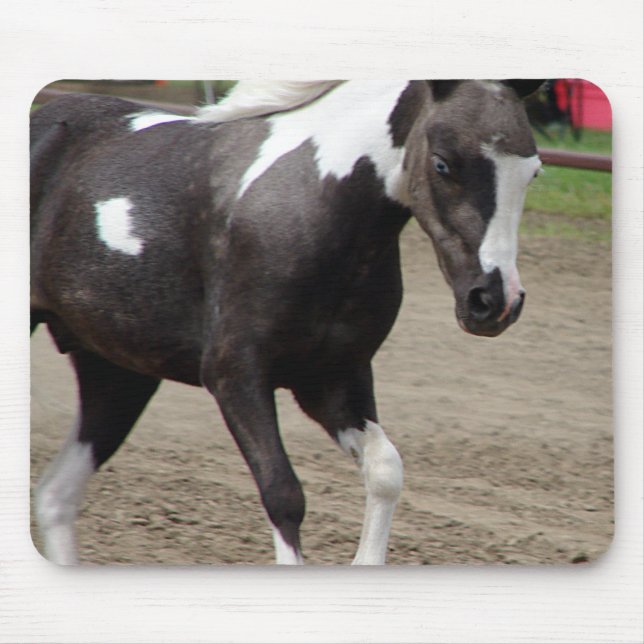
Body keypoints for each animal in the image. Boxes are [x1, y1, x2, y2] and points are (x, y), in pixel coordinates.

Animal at [30, 79, 543, 565]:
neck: (314, 207)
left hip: (117, 371)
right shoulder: (235, 377)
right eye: (442, 164)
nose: (495, 301)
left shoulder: (331, 381)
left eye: (533, 171)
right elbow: (283, 495)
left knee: (56, 495)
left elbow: (385, 471)